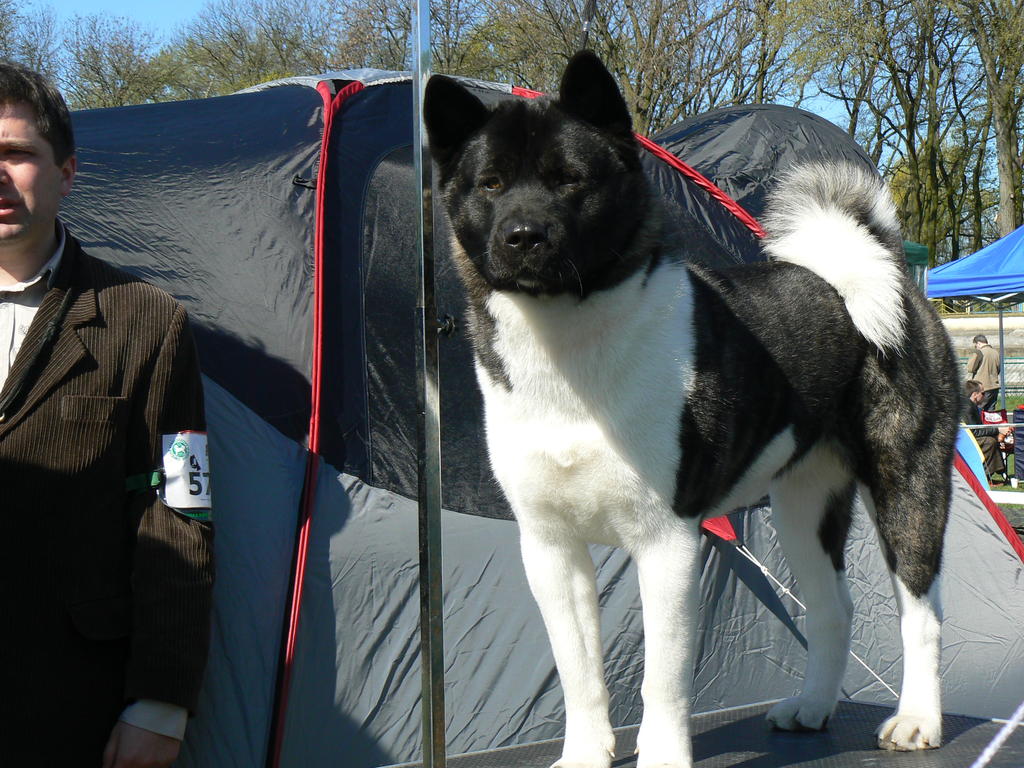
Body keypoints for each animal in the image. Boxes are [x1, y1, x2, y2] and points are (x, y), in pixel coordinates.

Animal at [424, 51, 960, 768]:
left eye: (570, 180)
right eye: (490, 183)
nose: (522, 235)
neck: (568, 351)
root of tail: (878, 272)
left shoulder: (667, 542)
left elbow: (663, 676)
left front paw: (661, 755)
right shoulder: (550, 549)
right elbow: (580, 672)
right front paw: (585, 753)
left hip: (908, 488)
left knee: (921, 611)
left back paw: (918, 720)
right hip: (803, 505)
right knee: (832, 608)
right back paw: (814, 708)